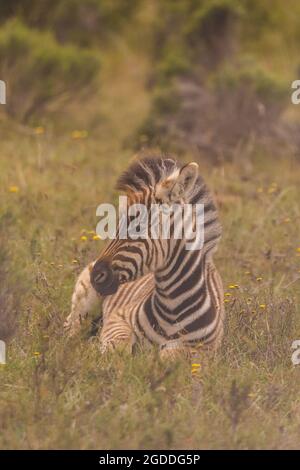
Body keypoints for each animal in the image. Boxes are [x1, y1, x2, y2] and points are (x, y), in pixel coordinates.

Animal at [63, 157, 224, 360]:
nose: (96, 275)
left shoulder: (203, 350)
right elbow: (119, 348)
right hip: (85, 303)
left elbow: (168, 357)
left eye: (137, 228)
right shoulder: (118, 318)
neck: (172, 309)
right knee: (71, 329)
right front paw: (97, 350)